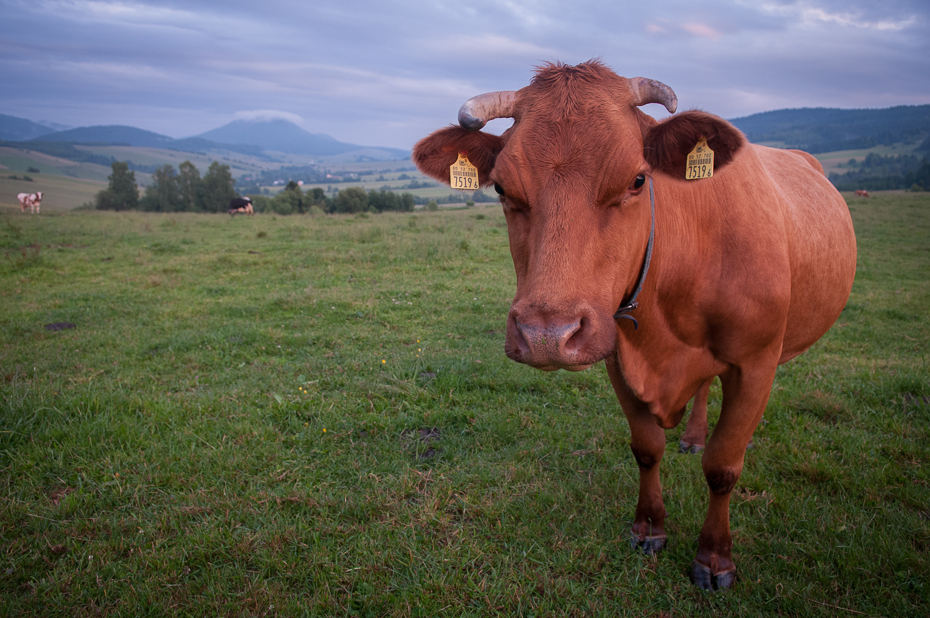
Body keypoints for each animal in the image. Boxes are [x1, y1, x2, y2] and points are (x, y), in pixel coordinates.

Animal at [414, 61, 856, 588]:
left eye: (638, 180)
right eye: (501, 188)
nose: (546, 336)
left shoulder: (756, 364)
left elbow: (724, 465)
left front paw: (714, 557)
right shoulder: (617, 356)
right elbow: (646, 447)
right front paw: (649, 527)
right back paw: (691, 437)